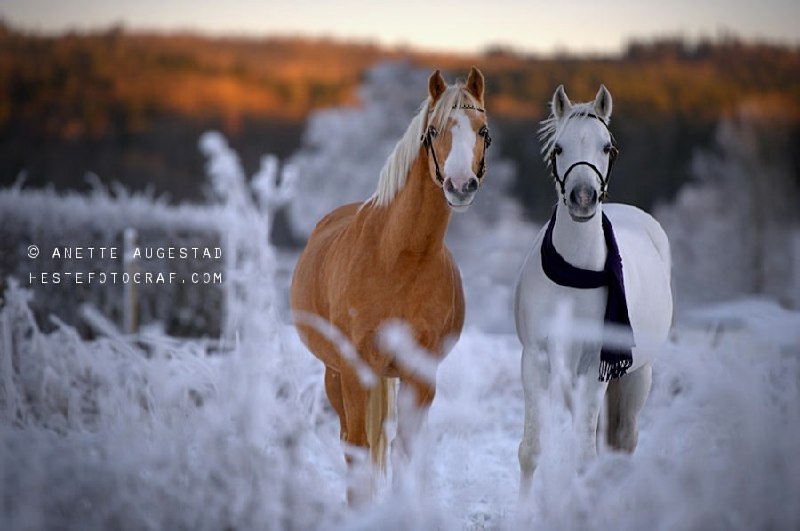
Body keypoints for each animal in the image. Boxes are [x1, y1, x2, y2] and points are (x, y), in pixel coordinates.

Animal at [290, 67, 490, 502]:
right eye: (433, 130)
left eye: (483, 130)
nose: (460, 184)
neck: (398, 257)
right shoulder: (354, 371)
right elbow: (360, 449)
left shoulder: (421, 374)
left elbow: (403, 451)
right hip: (335, 375)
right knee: (352, 443)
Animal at [516, 84, 672, 494]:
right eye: (559, 148)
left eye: (607, 147)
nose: (583, 197)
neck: (574, 278)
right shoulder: (536, 362)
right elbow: (531, 451)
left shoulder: (594, 370)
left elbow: (585, 457)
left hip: (636, 377)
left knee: (624, 440)